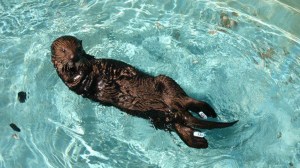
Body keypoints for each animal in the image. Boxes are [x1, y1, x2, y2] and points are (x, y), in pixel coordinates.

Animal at [50, 35, 238, 148]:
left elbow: (95, 66)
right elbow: (77, 81)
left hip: (166, 83)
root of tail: (174, 110)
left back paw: (207, 110)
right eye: (64, 51)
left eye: (78, 49)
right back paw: (200, 141)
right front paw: (74, 68)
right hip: (161, 119)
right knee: (181, 125)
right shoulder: (72, 83)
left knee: (185, 99)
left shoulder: (93, 65)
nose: (74, 57)